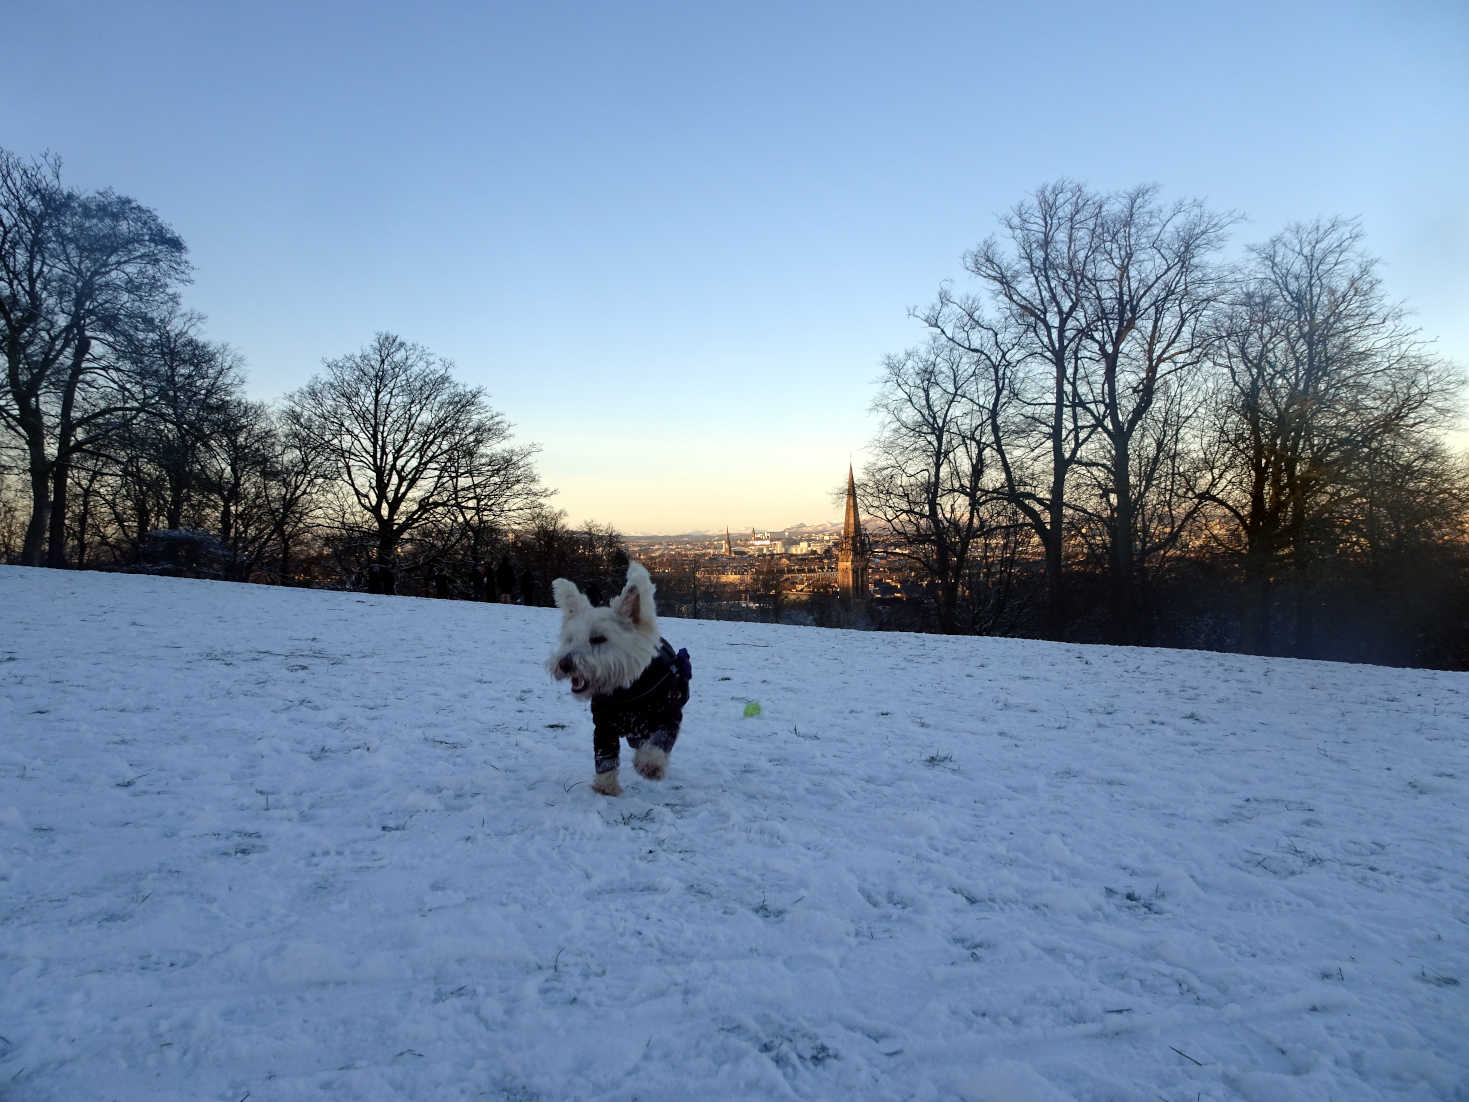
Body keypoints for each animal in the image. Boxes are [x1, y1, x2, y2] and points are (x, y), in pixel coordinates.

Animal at [549, 570, 690, 793]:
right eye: (570, 639)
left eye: (598, 638)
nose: (564, 664)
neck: (627, 692)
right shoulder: (603, 725)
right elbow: (605, 755)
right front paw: (606, 787)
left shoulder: (670, 715)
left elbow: (660, 740)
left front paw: (650, 765)